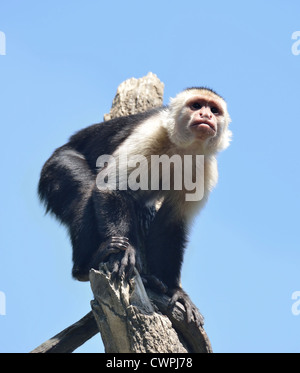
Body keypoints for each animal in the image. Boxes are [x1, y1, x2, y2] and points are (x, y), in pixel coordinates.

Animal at [38, 85, 232, 324]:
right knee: (84, 189)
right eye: (196, 105)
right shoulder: (151, 133)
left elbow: (171, 225)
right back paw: (86, 265)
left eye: (214, 110)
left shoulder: (205, 168)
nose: (205, 115)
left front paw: (175, 290)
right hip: (55, 167)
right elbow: (110, 185)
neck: (182, 149)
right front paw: (126, 251)